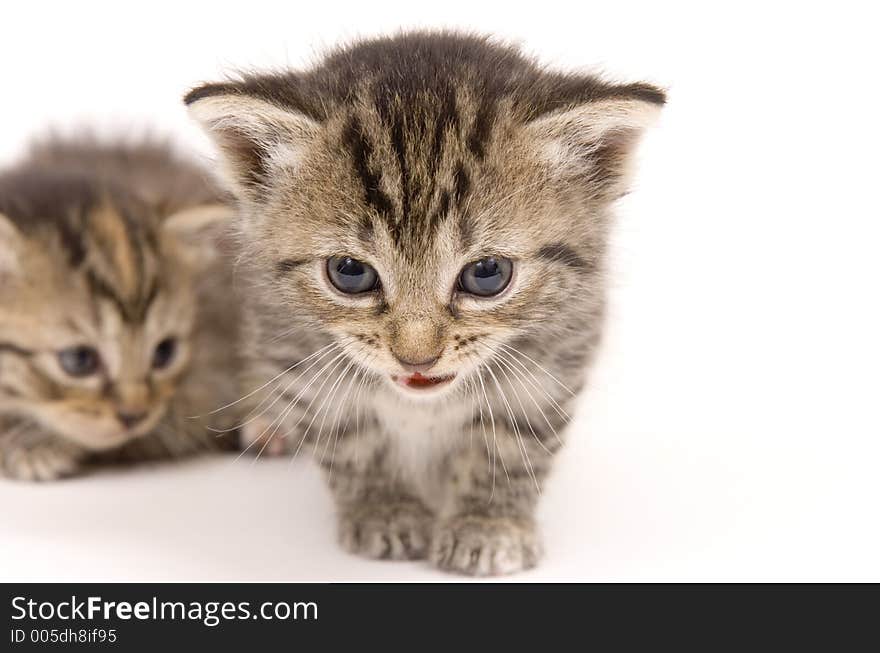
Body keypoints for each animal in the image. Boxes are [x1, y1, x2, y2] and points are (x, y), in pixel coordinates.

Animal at [187, 33, 668, 572]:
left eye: (487, 274)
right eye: (349, 273)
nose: (417, 357)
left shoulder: (557, 354)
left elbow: (512, 441)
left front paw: (489, 523)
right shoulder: (298, 356)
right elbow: (350, 438)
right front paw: (384, 510)